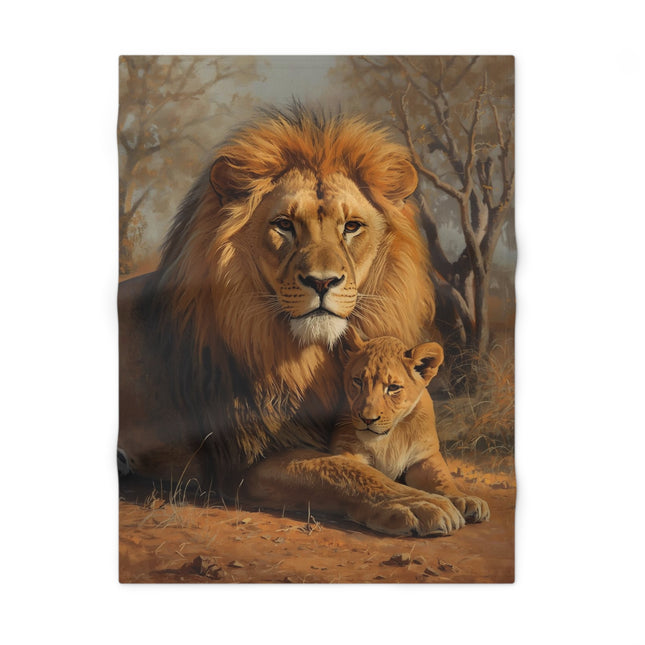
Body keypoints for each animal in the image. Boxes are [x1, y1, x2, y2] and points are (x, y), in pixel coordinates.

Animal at [118, 104, 464, 536]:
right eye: (284, 224)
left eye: (352, 227)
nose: (322, 282)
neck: (311, 359)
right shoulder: (247, 461)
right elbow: (340, 470)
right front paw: (417, 503)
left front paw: (456, 496)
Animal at [331, 328, 490, 526]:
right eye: (358, 381)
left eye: (393, 387)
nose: (367, 419)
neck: (389, 437)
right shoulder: (347, 451)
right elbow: (367, 477)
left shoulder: (424, 457)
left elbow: (443, 480)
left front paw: (466, 499)